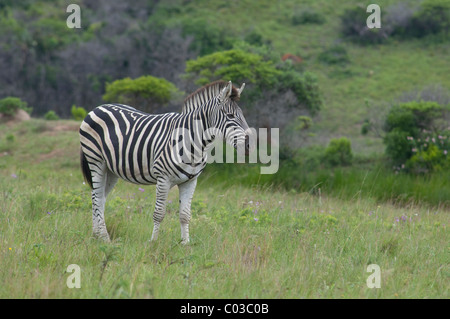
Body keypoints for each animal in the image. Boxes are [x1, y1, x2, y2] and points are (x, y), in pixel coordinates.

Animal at [78, 80, 251, 245]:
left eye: (242, 115)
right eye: (230, 116)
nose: (249, 145)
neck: (193, 142)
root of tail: (99, 107)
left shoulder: (191, 181)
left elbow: (185, 215)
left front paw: (185, 244)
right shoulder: (163, 178)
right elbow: (159, 214)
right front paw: (153, 242)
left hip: (111, 169)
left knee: (99, 197)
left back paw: (96, 235)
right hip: (96, 161)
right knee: (97, 197)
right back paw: (104, 237)